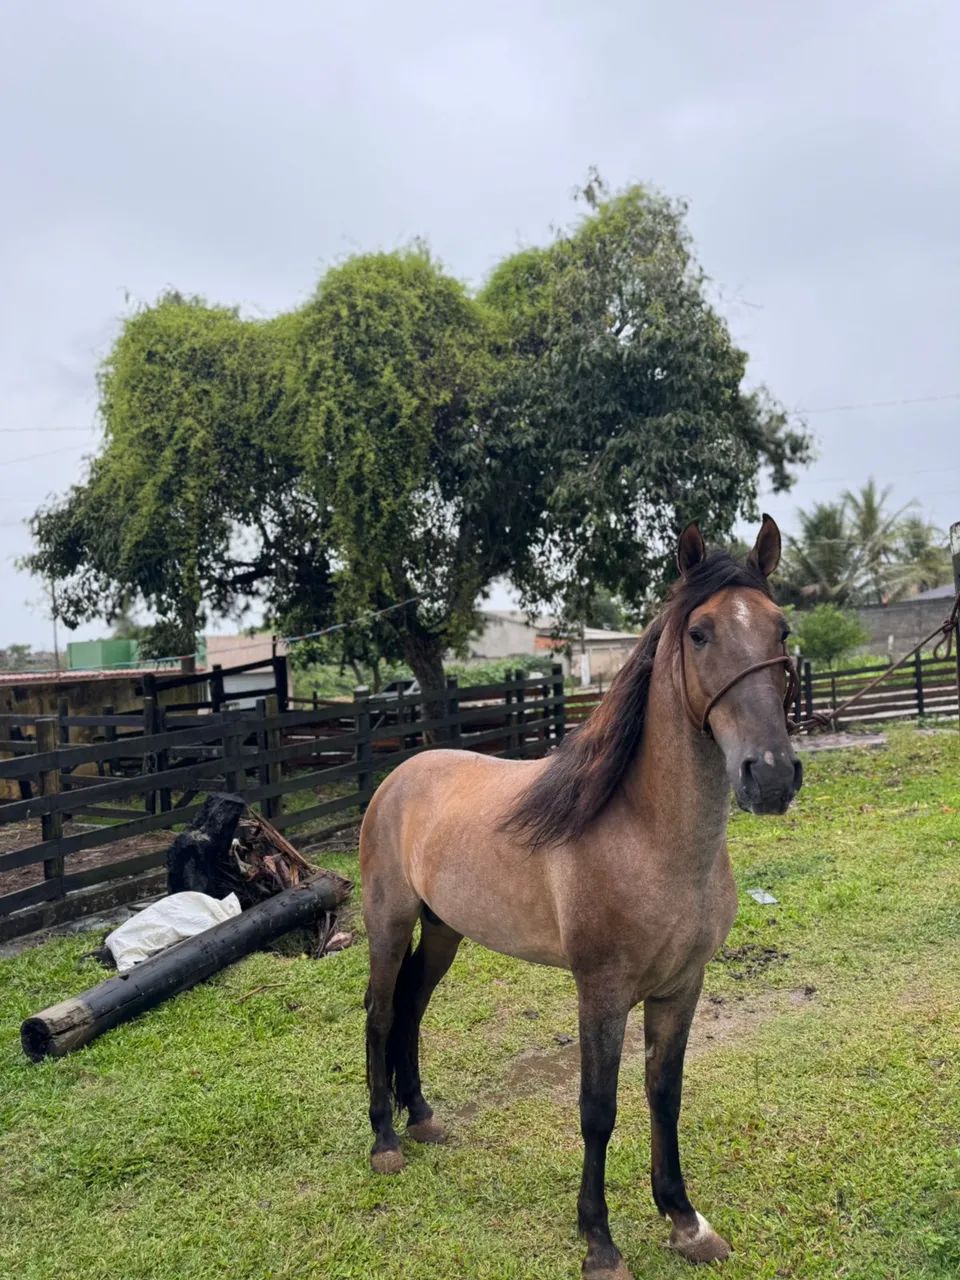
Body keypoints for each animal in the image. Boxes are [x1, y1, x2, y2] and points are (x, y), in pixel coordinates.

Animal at [359, 515, 802, 1278]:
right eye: (699, 634)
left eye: (780, 628)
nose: (770, 775)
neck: (648, 836)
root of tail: (400, 776)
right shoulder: (601, 990)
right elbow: (597, 1109)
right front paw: (600, 1241)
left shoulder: (681, 986)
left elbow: (664, 1095)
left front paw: (685, 1221)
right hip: (388, 925)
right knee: (384, 1013)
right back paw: (386, 1141)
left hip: (444, 931)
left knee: (414, 1007)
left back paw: (423, 1119)